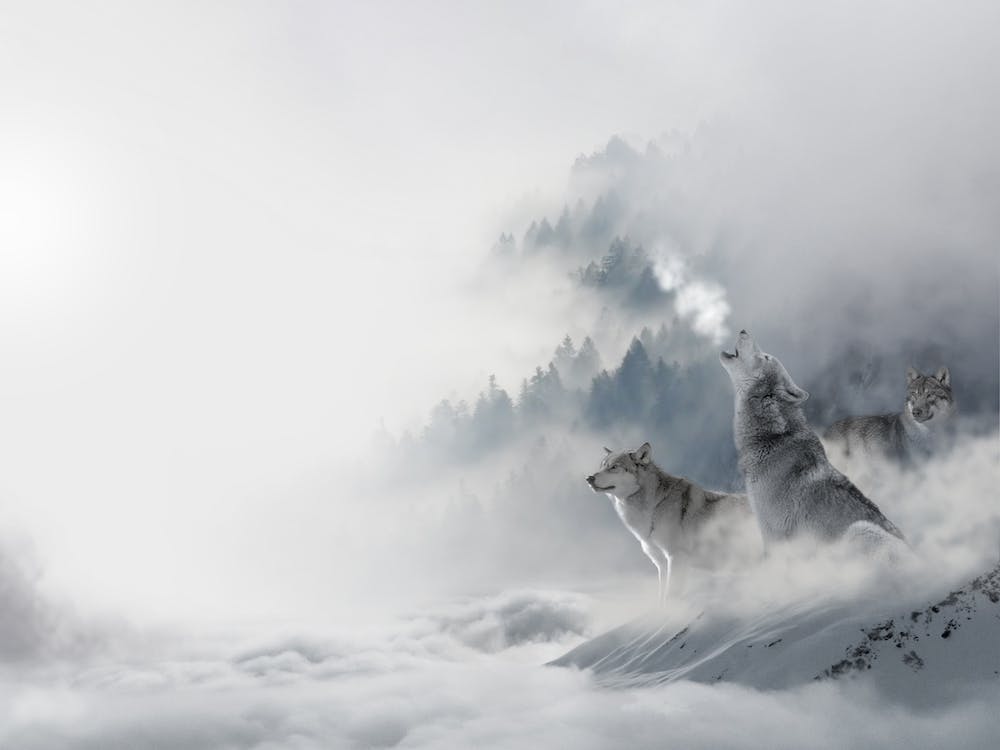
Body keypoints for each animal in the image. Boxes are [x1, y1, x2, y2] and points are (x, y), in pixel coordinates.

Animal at [586, 442, 756, 604]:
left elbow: (670, 596)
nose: (589, 478)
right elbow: (662, 598)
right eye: (601, 466)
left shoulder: (676, 557)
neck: (654, 507)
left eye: (614, 467)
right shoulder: (661, 564)